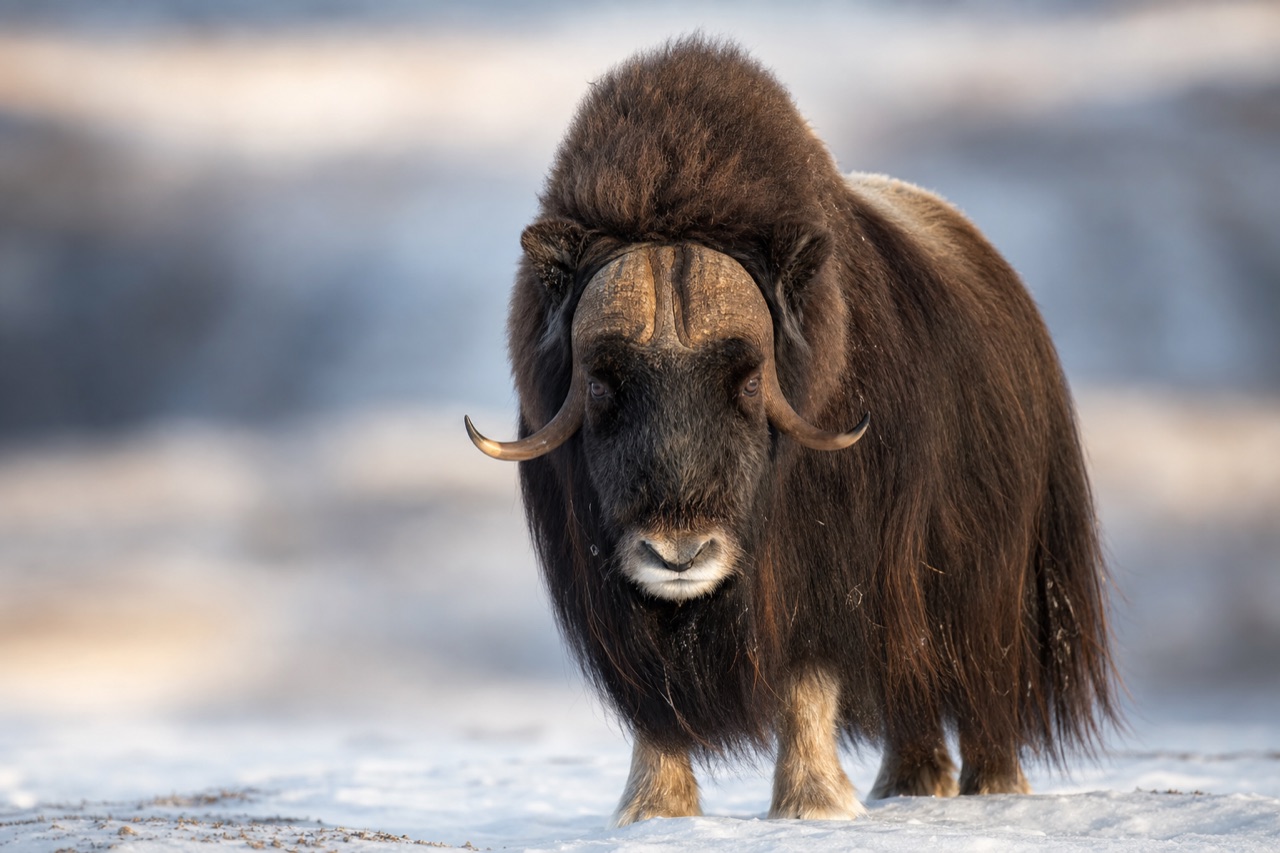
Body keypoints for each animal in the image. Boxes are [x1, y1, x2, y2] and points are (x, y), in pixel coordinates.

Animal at [465, 37, 1118, 825]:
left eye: (748, 381)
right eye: (600, 383)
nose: (678, 554)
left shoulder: (827, 572)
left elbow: (807, 681)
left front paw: (814, 807)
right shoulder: (611, 597)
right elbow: (654, 703)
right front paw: (655, 810)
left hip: (991, 592)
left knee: (982, 692)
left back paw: (987, 789)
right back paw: (908, 783)